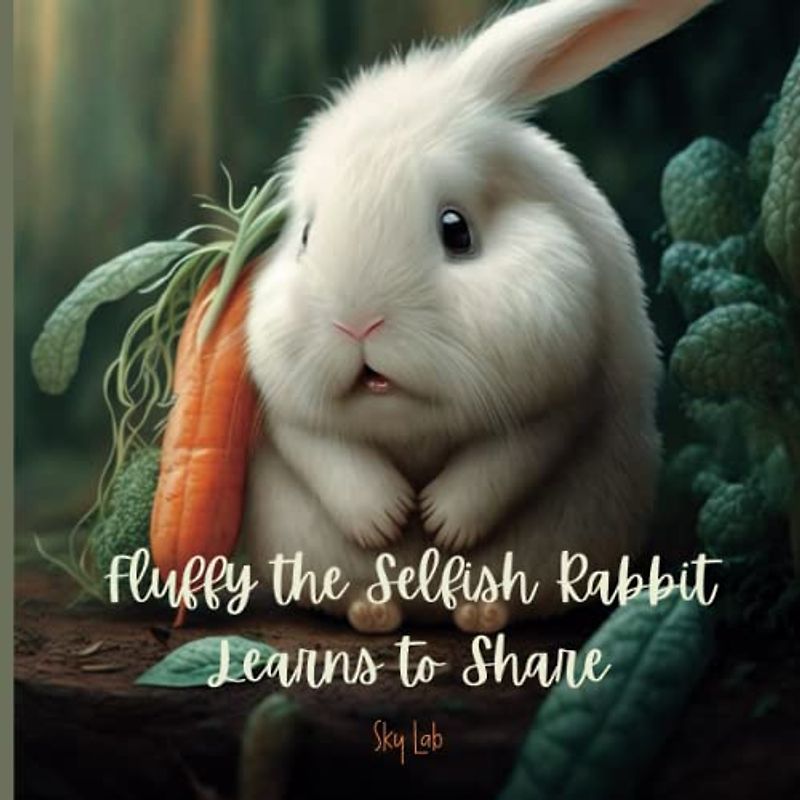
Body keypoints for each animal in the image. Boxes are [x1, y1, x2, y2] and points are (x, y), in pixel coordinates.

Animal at [244, 0, 712, 634]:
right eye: (306, 237)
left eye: (456, 230)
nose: (358, 323)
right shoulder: (279, 404)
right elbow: (324, 452)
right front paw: (386, 518)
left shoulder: (568, 386)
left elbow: (511, 457)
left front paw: (444, 524)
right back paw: (374, 612)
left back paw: (481, 613)